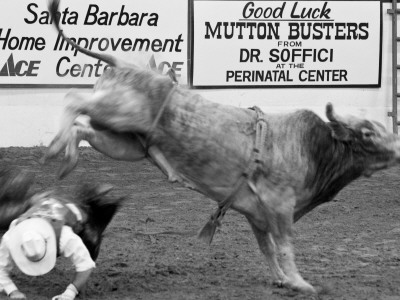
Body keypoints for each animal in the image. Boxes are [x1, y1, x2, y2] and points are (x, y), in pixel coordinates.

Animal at [43, 0, 400, 292]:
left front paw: (283, 280)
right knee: (73, 100)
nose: (397, 147)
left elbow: (268, 248)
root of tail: (129, 66)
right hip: (121, 112)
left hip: (126, 143)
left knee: (81, 126)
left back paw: (66, 160)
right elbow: (284, 246)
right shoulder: (280, 206)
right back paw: (53, 150)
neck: (316, 150)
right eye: (368, 134)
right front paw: (301, 282)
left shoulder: (257, 214)